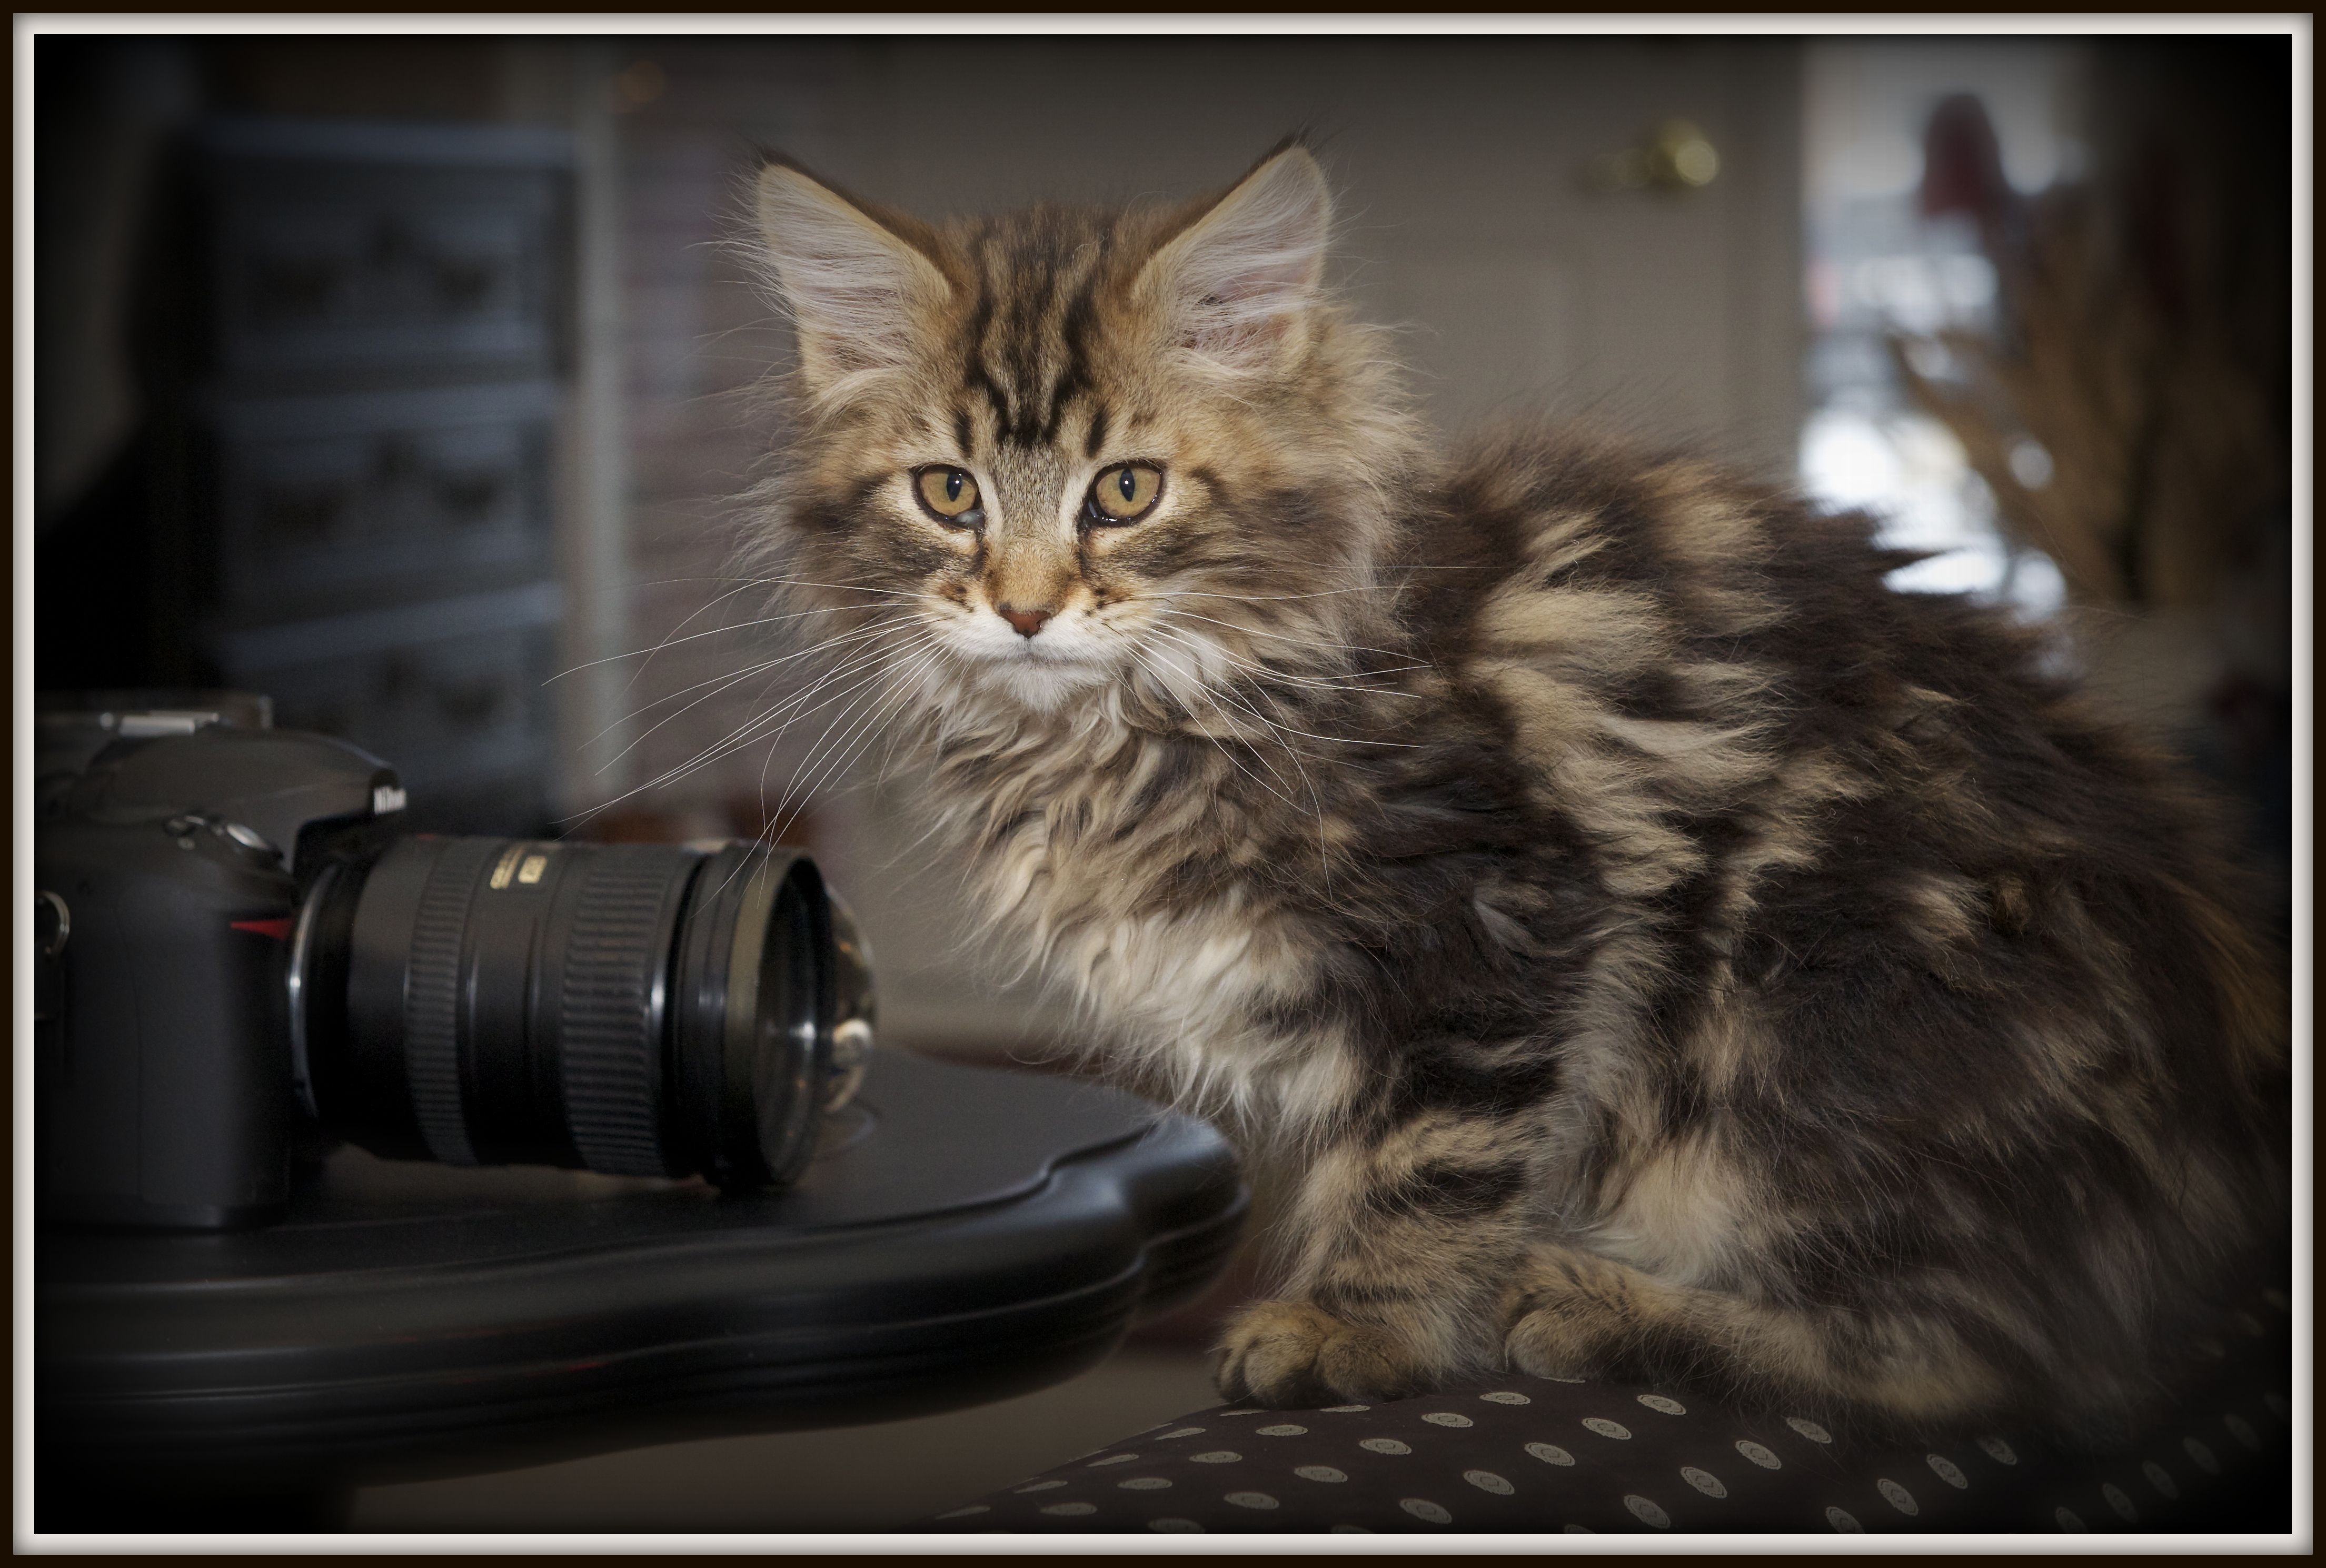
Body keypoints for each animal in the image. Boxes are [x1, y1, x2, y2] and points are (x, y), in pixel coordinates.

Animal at [735, 141, 2279, 1433]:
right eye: (948, 493)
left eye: (1125, 491)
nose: (1024, 610)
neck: (1147, 715)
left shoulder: (1492, 923)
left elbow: (1426, 1163)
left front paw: (1355, 1329)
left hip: (1807, 1011)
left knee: (1995, 1359)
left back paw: (1598, 1305)